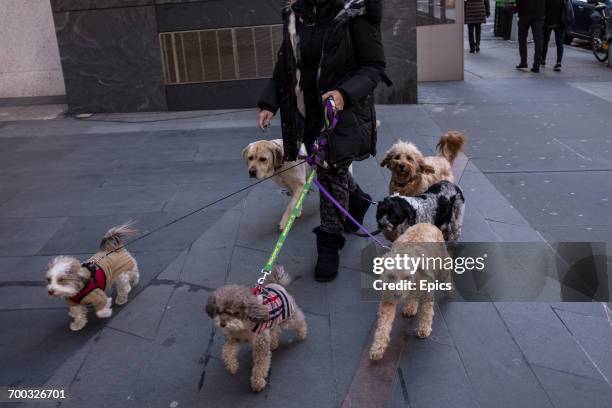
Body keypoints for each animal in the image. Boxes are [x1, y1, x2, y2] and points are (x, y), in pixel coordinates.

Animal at [207, 266, 306, 394]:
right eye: (219, 311)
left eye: (235, 313)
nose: (223, 324)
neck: (244, 327)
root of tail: (278, 284)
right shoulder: (234, 338)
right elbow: (227, 352)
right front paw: (232, 366)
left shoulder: (260, 344)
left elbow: (260, 366)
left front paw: (257, 383)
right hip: (272, 322)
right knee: (274, 330)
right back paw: (273, 344)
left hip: (288, 318)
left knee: (299, 320)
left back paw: (302, 333)